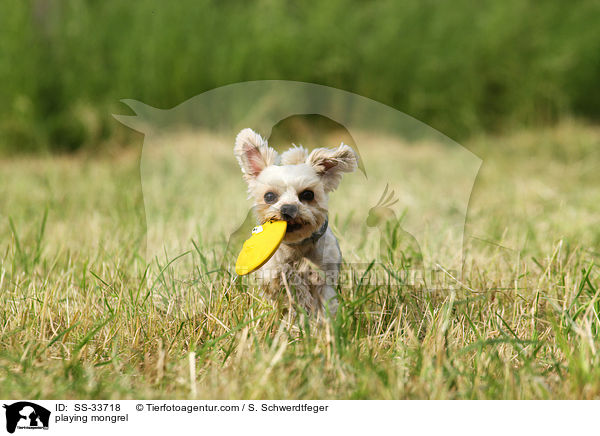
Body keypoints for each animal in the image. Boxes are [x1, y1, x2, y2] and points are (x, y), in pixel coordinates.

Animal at [233, 127, 356, 316]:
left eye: (308, 194)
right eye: (269, 196)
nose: (288, 208)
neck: (298, 246)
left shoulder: (325, 274)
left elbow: (325, 303)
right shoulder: (275, 275)